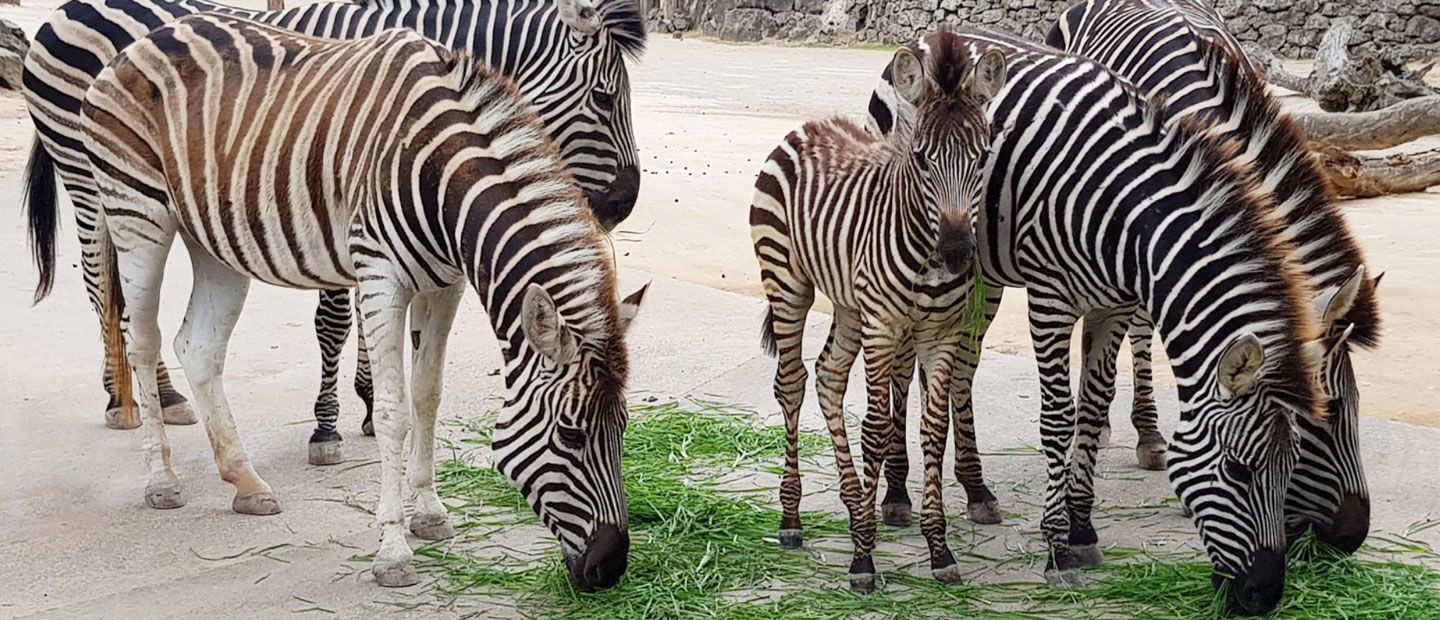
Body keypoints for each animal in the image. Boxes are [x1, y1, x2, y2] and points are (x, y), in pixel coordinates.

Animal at [80, 13, 647, 590]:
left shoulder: (445, 284)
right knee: (142, 340)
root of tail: (147, 39)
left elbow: (427, 396)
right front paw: (393, 551)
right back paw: (162, 480)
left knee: (198, 346)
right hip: (136, 212)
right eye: (571, 435)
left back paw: (247, 483)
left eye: (624, 427)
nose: (610, 568)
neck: (441, 177)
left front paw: (430, 513)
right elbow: (395, 411)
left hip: (215, 239)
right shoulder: (381, 277)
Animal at [751, 33, 1004, 592]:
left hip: (850, 304)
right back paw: (791, 518)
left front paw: (938, 549)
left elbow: (932, 429)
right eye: (923, 161)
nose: (958, 252)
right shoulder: (886, 328)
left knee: (827, 375)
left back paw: (850, 505)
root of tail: (809, 125)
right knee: (792, 384)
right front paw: (863, 556)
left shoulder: (941, 334)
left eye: (982, 158)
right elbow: (877, 429)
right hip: (787, 282)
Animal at [866, 27, 1329, 614]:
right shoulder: (1050, 301)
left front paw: (1083, 530)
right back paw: (898, 495)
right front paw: (1057, 550)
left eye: (1292, 469)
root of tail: (935, 37)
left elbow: (1091, 408)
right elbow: (1058, 420)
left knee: (957, 373)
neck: (1126, 217)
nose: (1265, 595)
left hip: (982, 276)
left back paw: (976, 490)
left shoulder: (1116, 306)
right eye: (1238, 470)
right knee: (904, 370)